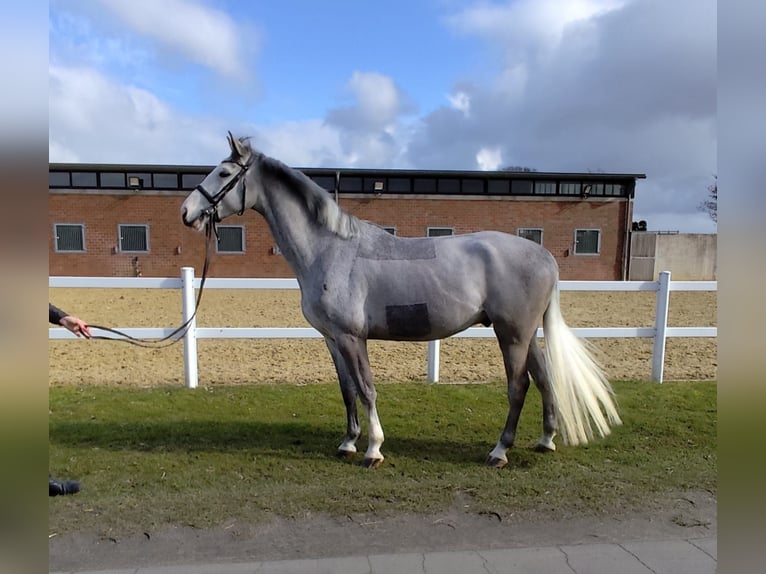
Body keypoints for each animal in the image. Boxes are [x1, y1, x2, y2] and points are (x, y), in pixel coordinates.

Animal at [182, 133, 624, 470]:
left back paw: (499, 451)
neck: (330, 249)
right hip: (525, 334)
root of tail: (544, 255)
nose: (187, 212)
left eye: (224, 173)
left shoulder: (352, 337)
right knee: (545, 378)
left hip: (511, 335)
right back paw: (545, 440)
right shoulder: (332, 339)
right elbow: (347, 390)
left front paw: (374, 449)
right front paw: (348, 443)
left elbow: (367, 389)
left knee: (519, 387)